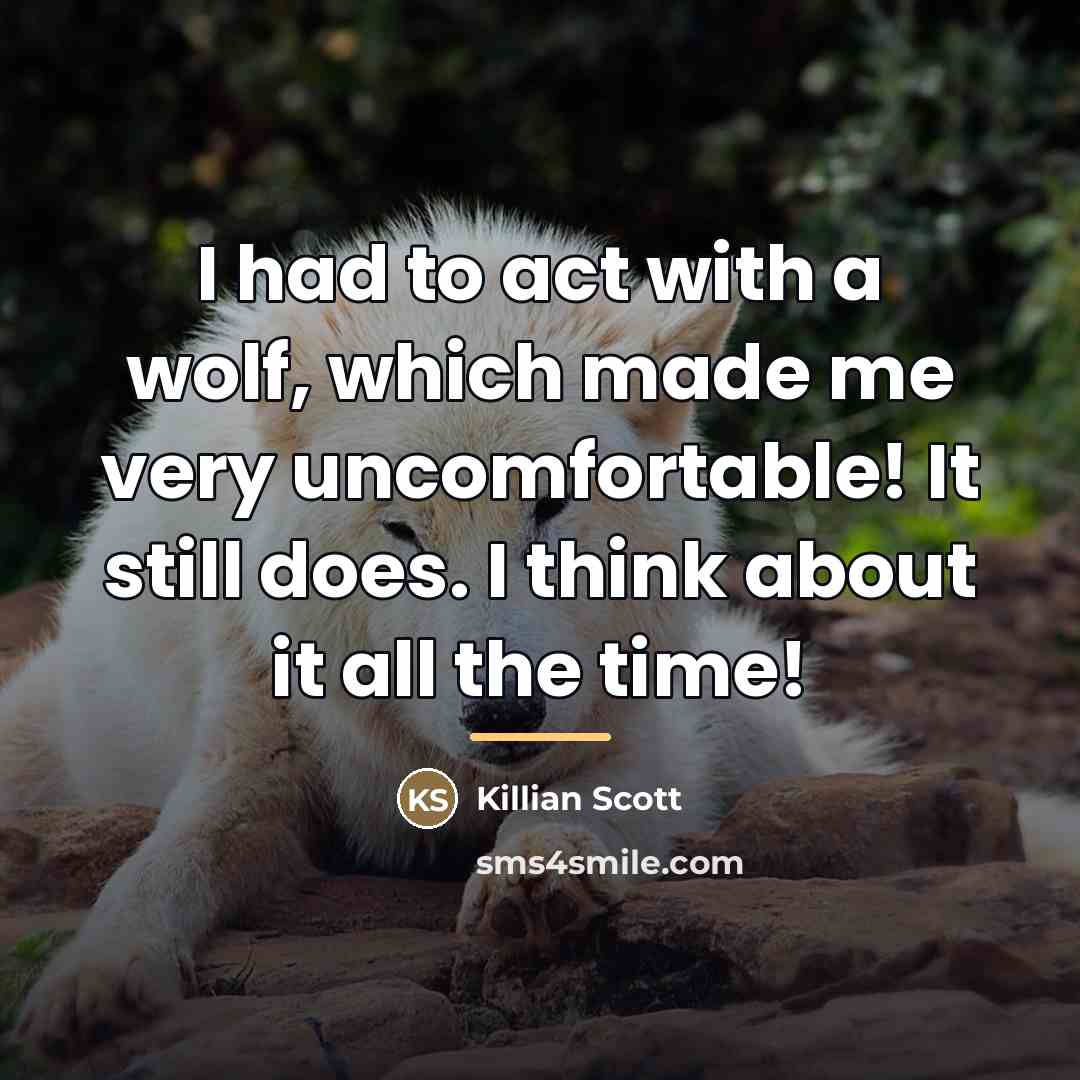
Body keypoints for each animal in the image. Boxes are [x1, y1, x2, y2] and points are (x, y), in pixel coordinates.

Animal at [3, 204, 1078, 1060]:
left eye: (549, 507)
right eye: (402, 528)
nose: (508, 711)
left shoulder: (643, 733)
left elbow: (584, 803)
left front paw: (536, 872)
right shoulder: (250, 747)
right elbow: (163, 860)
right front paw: (88, 980)